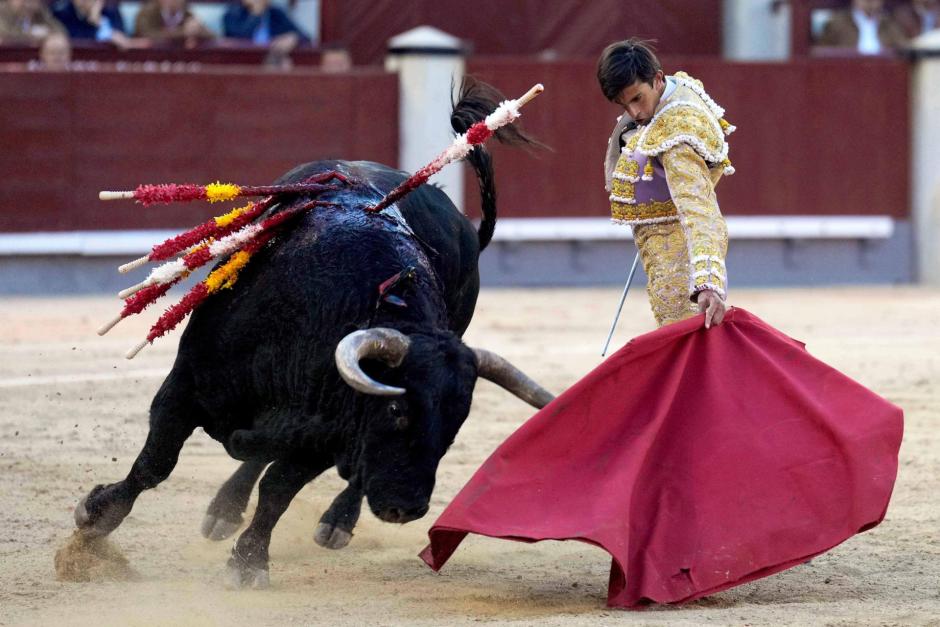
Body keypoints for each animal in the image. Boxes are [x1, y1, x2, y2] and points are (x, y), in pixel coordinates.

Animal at [77, 81, 556, 588]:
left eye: (456, 422)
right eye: (397, 411)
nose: (406, 508)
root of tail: (460, 220)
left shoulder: (332, 431)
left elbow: (278, 491)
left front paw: (249, 562)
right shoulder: (186, 385)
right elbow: (155, 464)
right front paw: (93, 523)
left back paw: (333, 522)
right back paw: (224, 510)